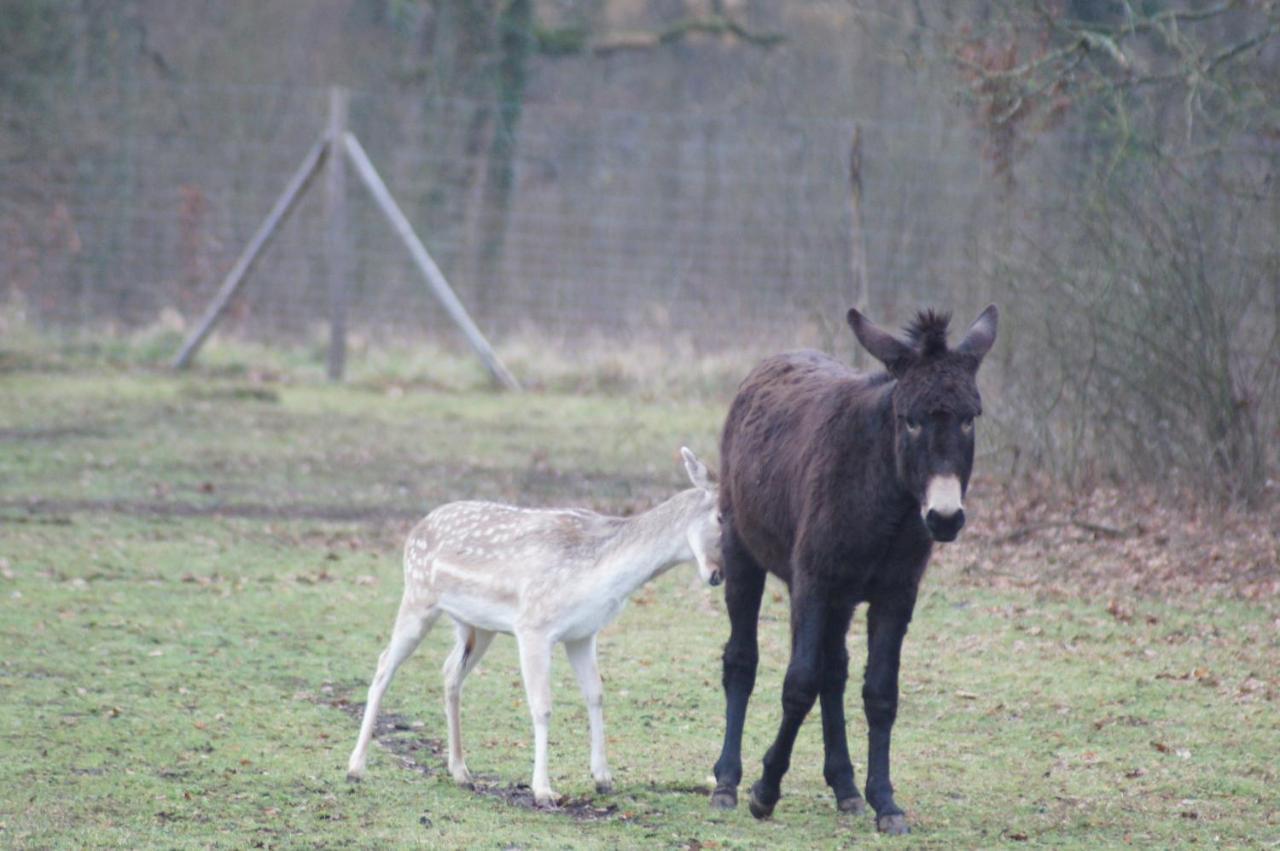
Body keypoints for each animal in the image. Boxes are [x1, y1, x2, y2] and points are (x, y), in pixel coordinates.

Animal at [348, 447, 721, 808]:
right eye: (721, 517)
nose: (718, 574)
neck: (605, 576)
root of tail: (414, 530)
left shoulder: (584, 633)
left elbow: (596, 694)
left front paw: (603, 778)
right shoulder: (533, 626)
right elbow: (542, 706)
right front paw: (543, 790)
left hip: (476, 625)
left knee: (450, 671)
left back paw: (461, 772)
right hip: (418, 595)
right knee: (384, 664)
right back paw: (356, 768)